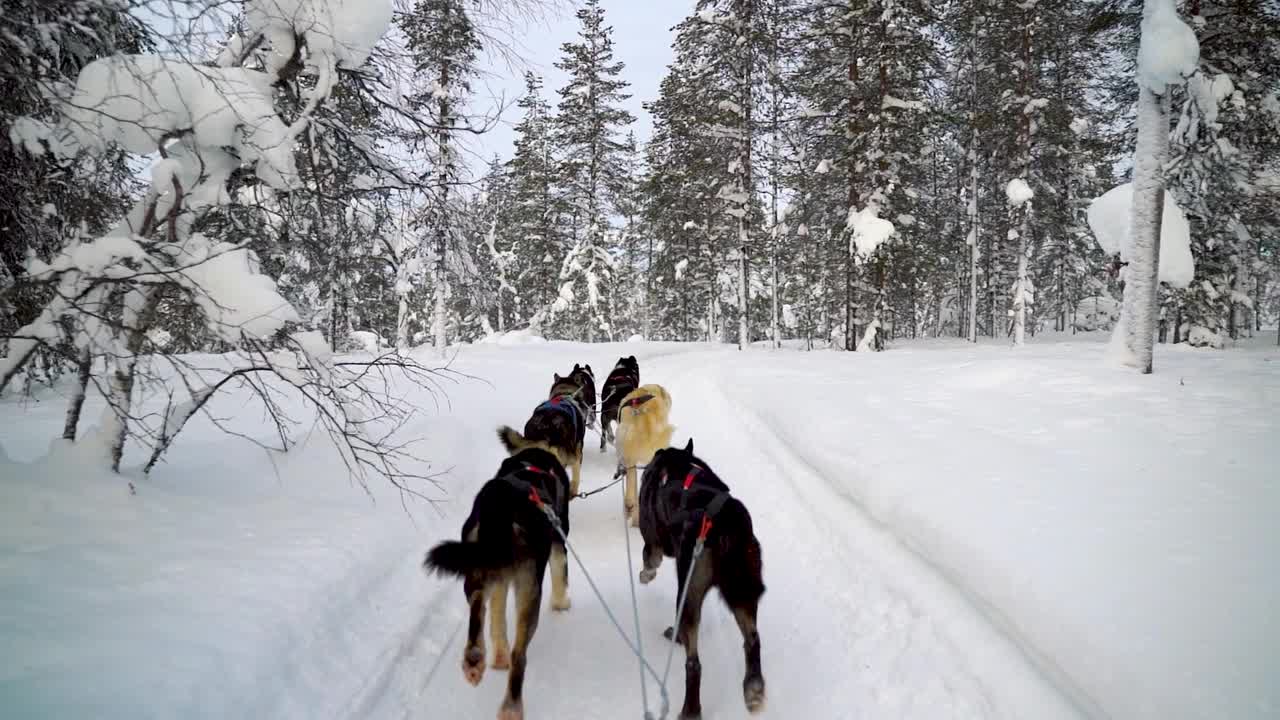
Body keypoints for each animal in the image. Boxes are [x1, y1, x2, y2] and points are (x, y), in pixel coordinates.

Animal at [424, 448, 570, 717]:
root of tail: (503, 498)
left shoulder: (499, 578)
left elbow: (497, 619)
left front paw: (498, 657)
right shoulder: (558, 544)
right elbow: (561, 574)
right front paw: (562, 603)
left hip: (478, 568)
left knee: (478, 609)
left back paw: (475, 659)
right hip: (529, 587)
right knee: (519, 654)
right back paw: (511, 708)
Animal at [637, 438, 762, 717]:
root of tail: (724, 522)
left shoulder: (653, 543)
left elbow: (649, 559)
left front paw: (645, 575)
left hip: (689, 592)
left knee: (693, 662)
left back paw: (690, 709)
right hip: (743, 588)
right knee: (752, 640)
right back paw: (754, 689)